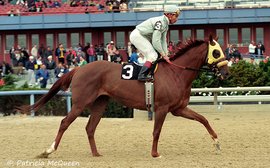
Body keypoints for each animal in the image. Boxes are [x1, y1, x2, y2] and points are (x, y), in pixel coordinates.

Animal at [20, 35, 229, 158]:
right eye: (216, 51)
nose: (226, 73)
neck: (176, 73)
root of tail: (79, 68)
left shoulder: (179, 109)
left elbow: (203, 119)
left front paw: (217, 143)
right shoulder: (162, 108)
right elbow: (156, 131)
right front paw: (155, 153)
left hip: (100, 103)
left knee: (90, 127)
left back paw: (96, 153)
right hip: (80, 102)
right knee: (65, 122)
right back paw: (49, 150)